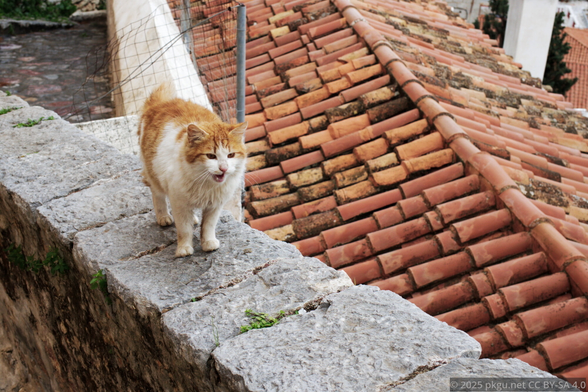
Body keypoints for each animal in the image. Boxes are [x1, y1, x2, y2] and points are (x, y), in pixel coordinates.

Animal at [139, 84, 247, 258]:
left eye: (231, 155)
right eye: (211, 156)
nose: (223, 168)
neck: (206, 185)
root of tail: (161, 103)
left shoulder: (214, 205)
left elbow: (208, 226)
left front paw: (208, 243)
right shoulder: (179, 202)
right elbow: (184, 229)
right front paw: (184, 249)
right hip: (154, 175)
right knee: (158, 196)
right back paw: (163, 217)